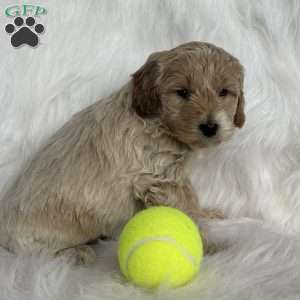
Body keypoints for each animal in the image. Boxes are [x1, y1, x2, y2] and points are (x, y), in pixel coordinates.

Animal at [0, 41, 244, 262]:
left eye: (224, 92)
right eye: (182, 92)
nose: (210, 127)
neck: (157, 122)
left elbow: (190, 199)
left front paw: (206, 214)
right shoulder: (160, 179)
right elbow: (184, 210)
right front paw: (207, 245)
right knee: (37, 254)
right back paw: (76, 253)